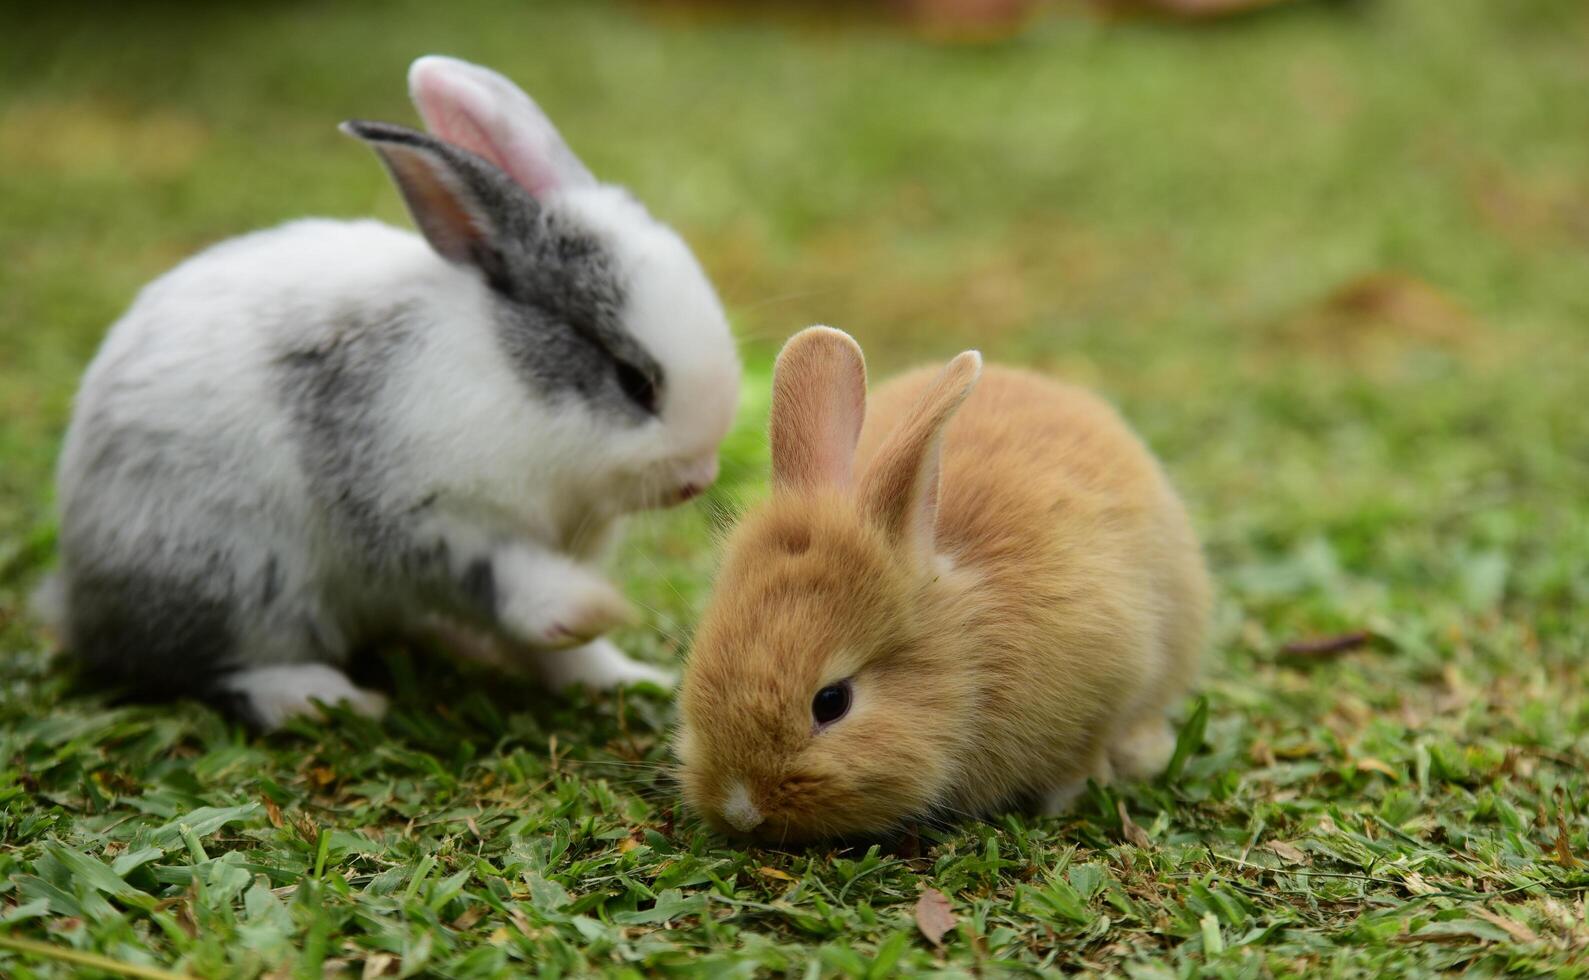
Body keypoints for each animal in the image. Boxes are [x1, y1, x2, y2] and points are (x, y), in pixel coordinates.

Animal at [40, 53, 740, 727]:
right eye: (634, 380)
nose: (698, 479)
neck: (509, 375)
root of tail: (78, 603)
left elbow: (554, 652)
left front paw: (624, 677)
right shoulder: (422, 515)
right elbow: (503, 579)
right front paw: (593, 609)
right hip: (233, 580)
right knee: (217, 668)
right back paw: (323, 698)